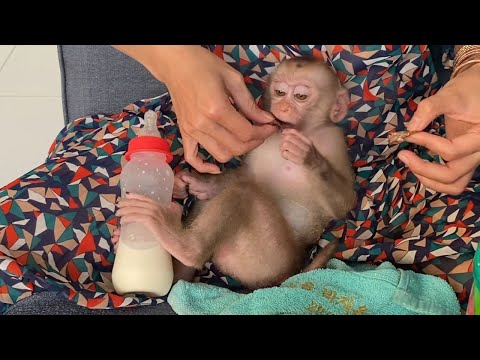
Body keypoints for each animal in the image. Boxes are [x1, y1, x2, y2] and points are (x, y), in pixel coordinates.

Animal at [115, 58, 356, 290]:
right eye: (279, 92)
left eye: (301, 96)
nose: (283, 107)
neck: (303, 130)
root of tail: (289, 273)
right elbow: (248, 175)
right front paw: (192, 183)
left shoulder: (333, 140)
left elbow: (343, 204)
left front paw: (307, 156)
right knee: (222, 195)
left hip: (265, 259)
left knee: (244, 194)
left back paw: (185, 246)